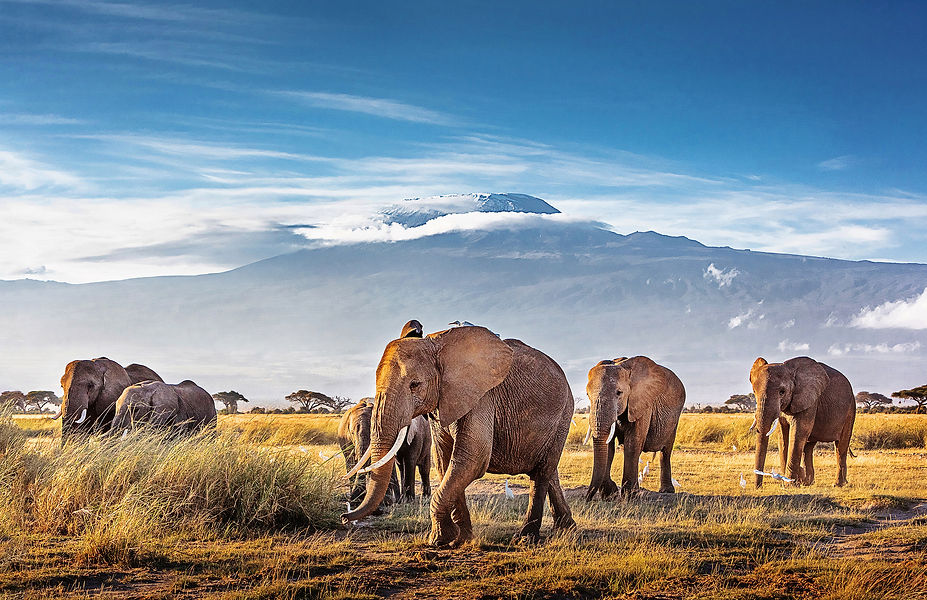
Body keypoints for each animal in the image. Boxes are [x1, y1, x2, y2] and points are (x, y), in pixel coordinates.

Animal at [341, 325, 576, 547]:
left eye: (414, 385)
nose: (344, 517)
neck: (437, 344)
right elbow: (445, 461)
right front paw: (460, 539)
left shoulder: (481, 398)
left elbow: (472, 459)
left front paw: (439, 540)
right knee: (548, 470)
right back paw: (566, 528)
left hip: (564, 413)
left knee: (542, 473)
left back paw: (526, 539)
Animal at [585, 357, 685, 500]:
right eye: (587, 394)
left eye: (619, 393)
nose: (587, 498)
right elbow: (609, 447)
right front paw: (610, 495)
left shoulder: (643, 403)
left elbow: (633, 443)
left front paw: (630, 495)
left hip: (674, 419)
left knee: (665, 452)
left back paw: (666, 491)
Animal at [750, 356, 856, 488]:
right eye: (754, 392)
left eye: (782, 392)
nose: (758, 487)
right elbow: (783, 437)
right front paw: (788, 482)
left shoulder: (810, 401)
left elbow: (798, 433)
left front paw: (789, 485)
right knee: (808, 447)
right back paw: (807, 483)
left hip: (850, 409)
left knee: (841, 446)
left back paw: (838, 484)